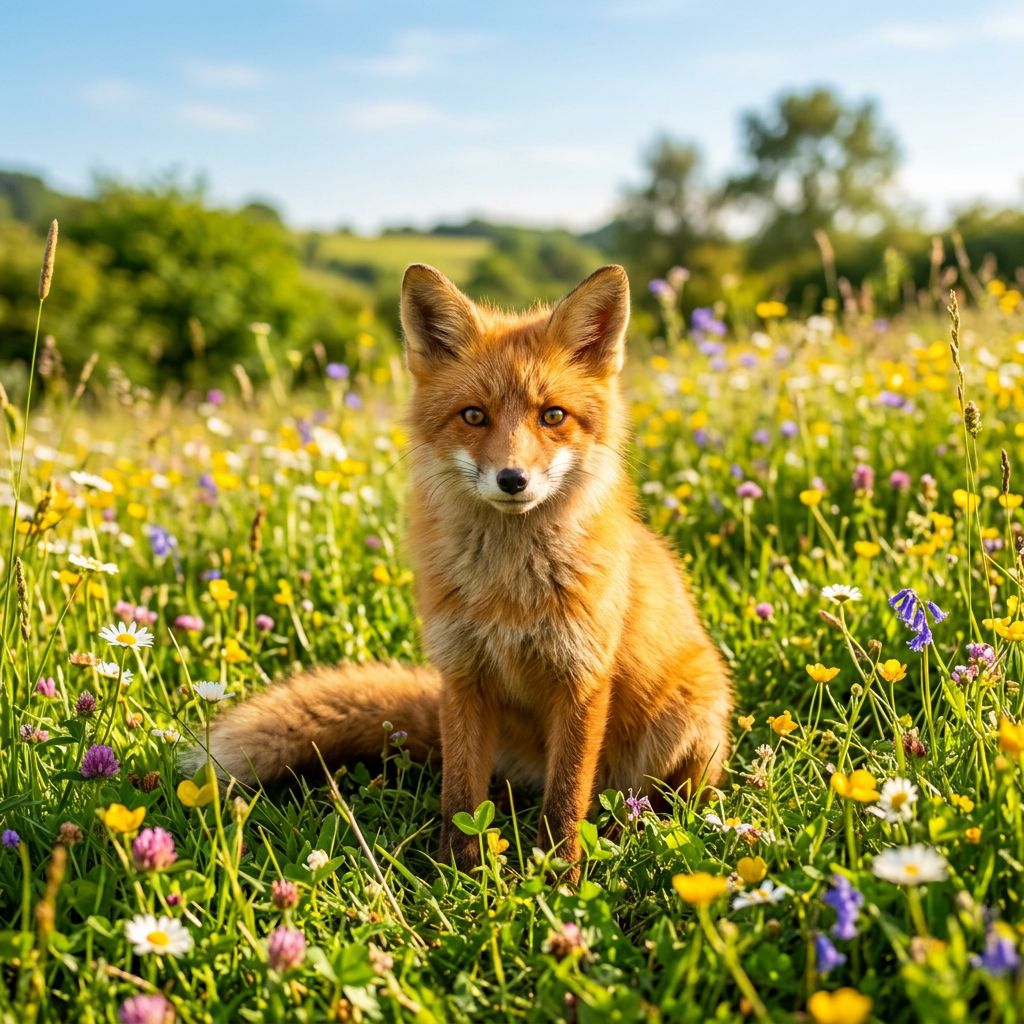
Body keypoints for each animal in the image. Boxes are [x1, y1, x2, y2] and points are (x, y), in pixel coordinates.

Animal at [194, 263, 733, 876]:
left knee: (648, 800)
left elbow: (567, 798)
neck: (510, 591)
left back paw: (634, 828)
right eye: (474, 415)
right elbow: (459, 796)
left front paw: (561, 876)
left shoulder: (581, 676)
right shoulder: (461, 671)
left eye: (553, 415)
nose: (513, 479)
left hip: (690, 723)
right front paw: (456, 875)